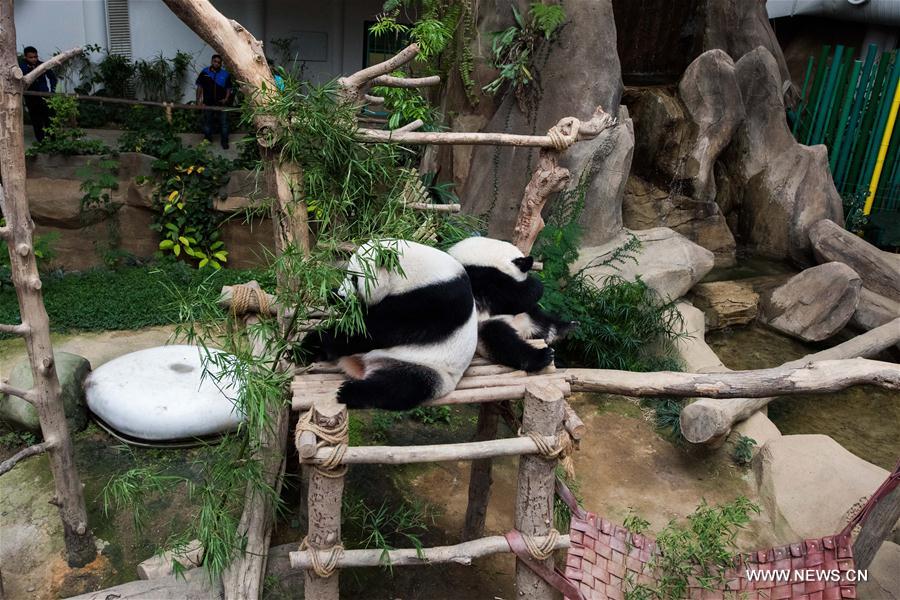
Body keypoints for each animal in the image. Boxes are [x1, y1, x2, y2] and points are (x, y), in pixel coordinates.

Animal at [306, 239, 478, 410]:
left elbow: (377, 330)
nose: (343, 294)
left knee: (400, 386)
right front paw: (333, 296)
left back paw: (348, 392)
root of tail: (362, 366)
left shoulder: (433, 299)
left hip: (429, 368)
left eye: (355, 279)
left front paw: (314, 341)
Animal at [446, 236, 576, 372]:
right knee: (504, 341)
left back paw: (565, 327)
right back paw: (542, 357)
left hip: (526, 314)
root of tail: (520, 327)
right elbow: (513, 298)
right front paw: (536, 285)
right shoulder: (483, 281)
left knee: (540, 318)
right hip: (480, 328)